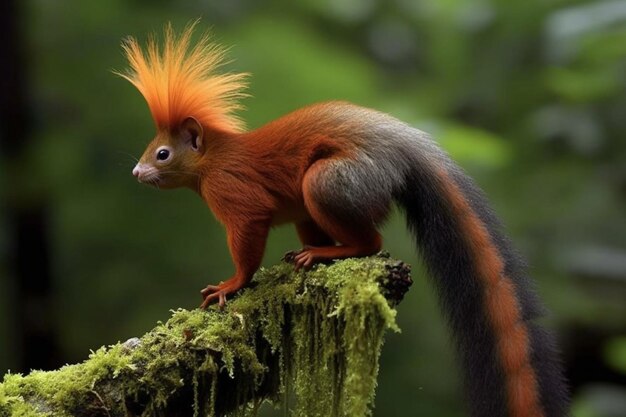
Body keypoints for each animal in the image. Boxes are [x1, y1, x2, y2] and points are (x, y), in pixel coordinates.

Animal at [114, 22, 568, 416]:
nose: (136, 172)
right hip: (311, 208)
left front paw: (230, 285)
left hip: (328, 182)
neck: (212, 160)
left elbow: (247, 247)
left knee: (372, 242)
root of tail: (403, 149)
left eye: (162, 154)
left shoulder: (237, 197)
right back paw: (312, 252)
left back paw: (326, 254)